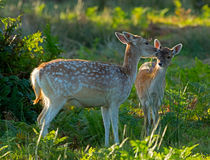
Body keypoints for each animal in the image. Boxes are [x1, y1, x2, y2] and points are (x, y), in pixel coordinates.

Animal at [29, 31, 158, 146]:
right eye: (146, 42)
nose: (156, 51)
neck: (126, 75)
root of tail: (37, 72)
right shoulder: (114, 99)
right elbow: (115, 123)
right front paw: (117, 144)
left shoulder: (105, 104)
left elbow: (106, 124)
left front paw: (106, 145)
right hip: (57, 97)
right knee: (45, 120)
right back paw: (47, 144)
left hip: (47, 98)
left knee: (39, 118)